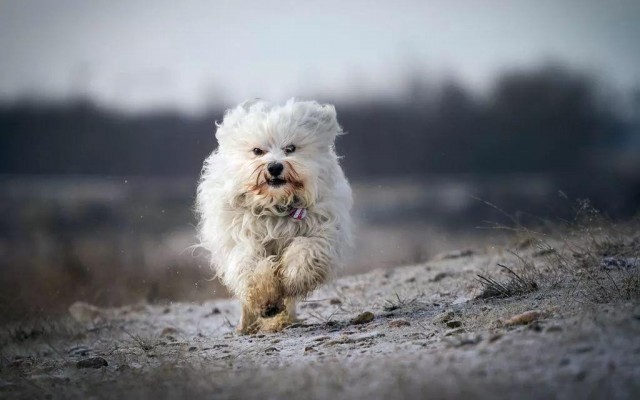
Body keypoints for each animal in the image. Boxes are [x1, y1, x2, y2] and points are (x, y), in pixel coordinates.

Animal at [196, 98, 352, 332]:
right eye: (257, 151)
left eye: (290, 148)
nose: (275, 167)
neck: (276, 205)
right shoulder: (242, 237)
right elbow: (252, 267)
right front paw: (265, 299)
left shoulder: (321, 230)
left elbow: (305, 251)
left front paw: (292, 278)